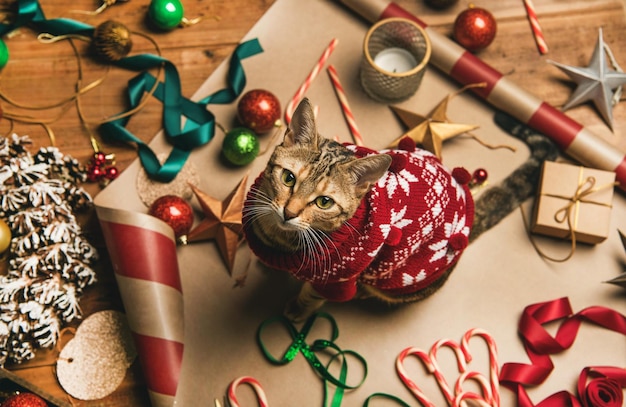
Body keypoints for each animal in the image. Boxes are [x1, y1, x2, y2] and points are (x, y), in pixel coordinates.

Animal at [241, 97, 552, 320]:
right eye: (288, 178)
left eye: (324, 202)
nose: (289, 212)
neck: (278, 237)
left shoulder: (337, 279)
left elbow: (313, 295)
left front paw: (298, 309)